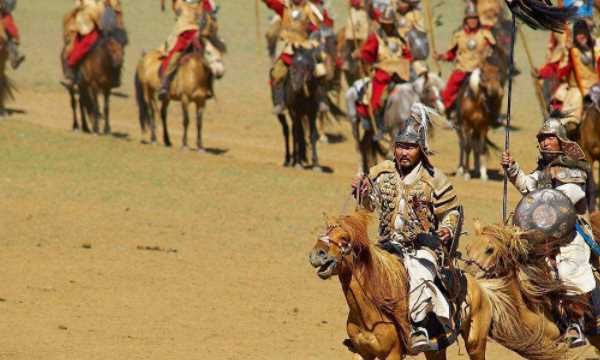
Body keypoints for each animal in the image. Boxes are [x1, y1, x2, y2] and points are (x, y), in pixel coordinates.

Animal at [310, 211, 496, 360]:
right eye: (326, 231)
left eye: (344, 238)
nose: (317, 254)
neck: (370, 310)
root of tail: (478, 287)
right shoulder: (362, 352)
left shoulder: (392, 354)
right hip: (436, 349)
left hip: (475, 345)